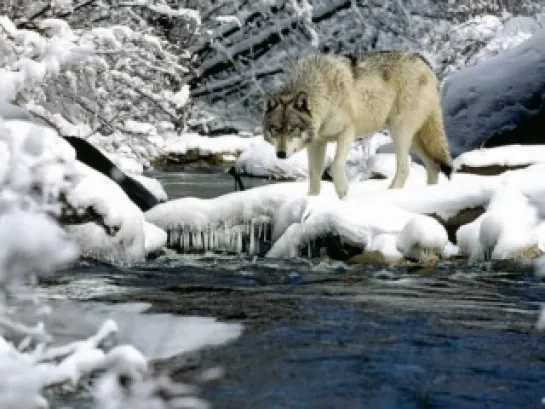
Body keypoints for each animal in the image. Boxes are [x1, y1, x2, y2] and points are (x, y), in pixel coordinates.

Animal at [262, 51, 452, 198]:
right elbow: (314, 175)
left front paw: (342, 192)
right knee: (433, 166)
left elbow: (336, 165)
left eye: (292, 129)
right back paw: (429, 192)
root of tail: (424, 62)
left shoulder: (347, 132)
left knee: (405, 167)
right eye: (275, 129)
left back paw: (390, 193)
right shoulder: (316, 143)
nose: (280, 154)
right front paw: (312, 199)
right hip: (414, 139)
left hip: (399, 131)